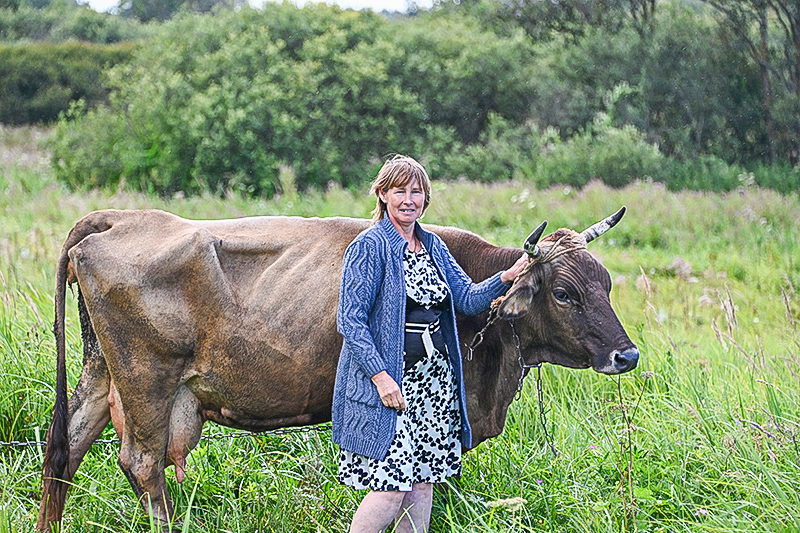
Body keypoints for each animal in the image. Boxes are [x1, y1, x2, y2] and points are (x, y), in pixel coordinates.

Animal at [36, 206, 636, 528]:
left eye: (606, 283)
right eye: (564, 293)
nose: (626, 354)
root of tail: (122, 218)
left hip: (102, 374)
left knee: (66, 443)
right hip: (147, 381)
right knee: (142, 463)